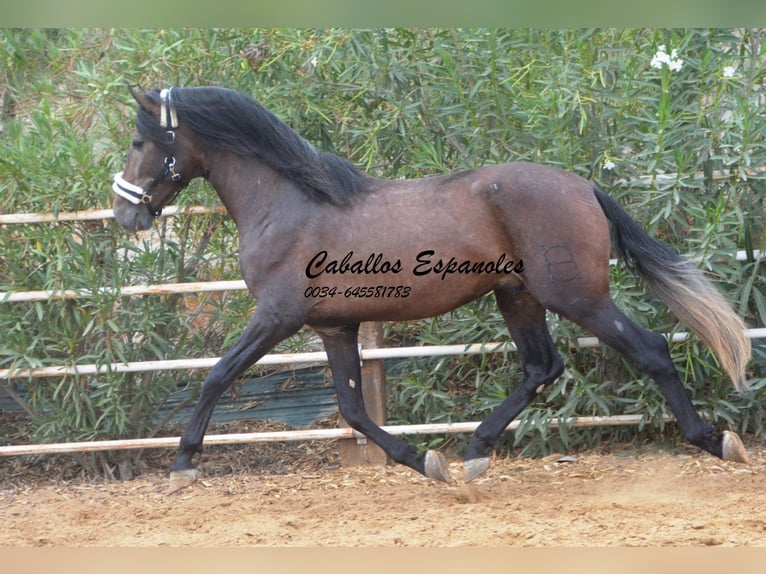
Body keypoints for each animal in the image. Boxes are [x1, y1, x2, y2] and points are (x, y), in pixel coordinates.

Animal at [111, 88, 752, 492]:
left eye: (140, 143)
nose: (125, 215)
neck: (289, 204)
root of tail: (583, 187)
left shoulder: (276, 316)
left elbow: (217, 375)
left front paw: (183, 465)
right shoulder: (334, 326)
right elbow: (352, 410)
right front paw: (425, 462)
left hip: (577, 297)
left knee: (650, 349)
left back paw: (716, 440)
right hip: (517, 297)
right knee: (541, 367)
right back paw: (473, 455)